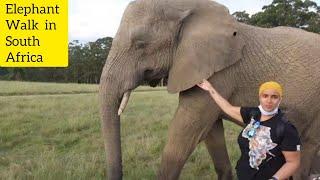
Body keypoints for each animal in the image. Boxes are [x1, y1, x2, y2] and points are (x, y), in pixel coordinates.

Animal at [98, 0, 320, 179]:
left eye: (140, 43)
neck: (190, 7)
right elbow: (211, 132)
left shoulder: (219, 73)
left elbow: (187, 131)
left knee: (308, 145)